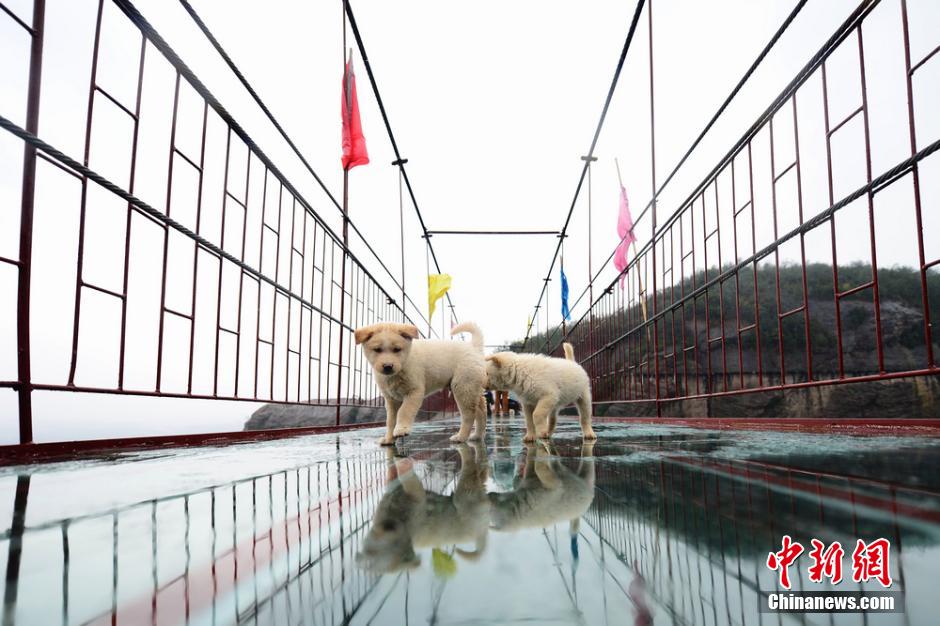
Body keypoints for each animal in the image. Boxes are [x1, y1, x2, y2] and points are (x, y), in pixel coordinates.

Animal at [352, 322, 484, 444]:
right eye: (377, 350)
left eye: (397, 349)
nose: (388, 366)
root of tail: (473, 347)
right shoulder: (391, 399)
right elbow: (390, 420)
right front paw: (389, 439)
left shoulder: (414, 391)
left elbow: (404, 411)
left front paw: (401, 430)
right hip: (472, 389)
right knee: (481, 411)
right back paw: (477, 435)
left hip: (463, 387)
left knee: (469, 414)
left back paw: (461, 437)